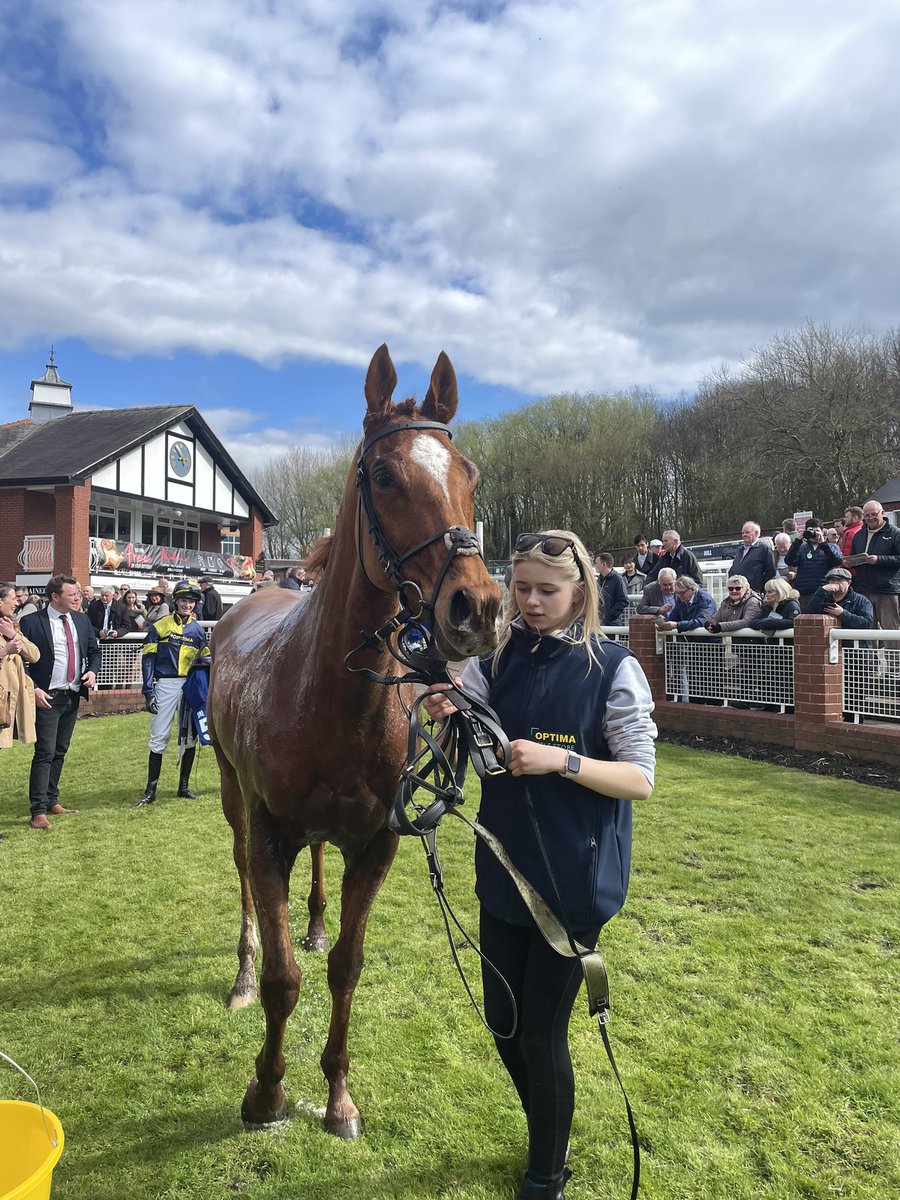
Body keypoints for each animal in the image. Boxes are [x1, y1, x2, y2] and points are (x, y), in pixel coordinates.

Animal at [206, 345, 501, 1132]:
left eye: (470, 476)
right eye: (385, 475)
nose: (479, 607)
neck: (329, 697)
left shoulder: (377, 846)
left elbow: (345, 965)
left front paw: (338, 1094)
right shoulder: (270, 836)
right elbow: (285, 980)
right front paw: (266, 1092)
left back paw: (309, 924)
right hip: (231, 796)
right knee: (242, 882)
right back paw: (241, 972)